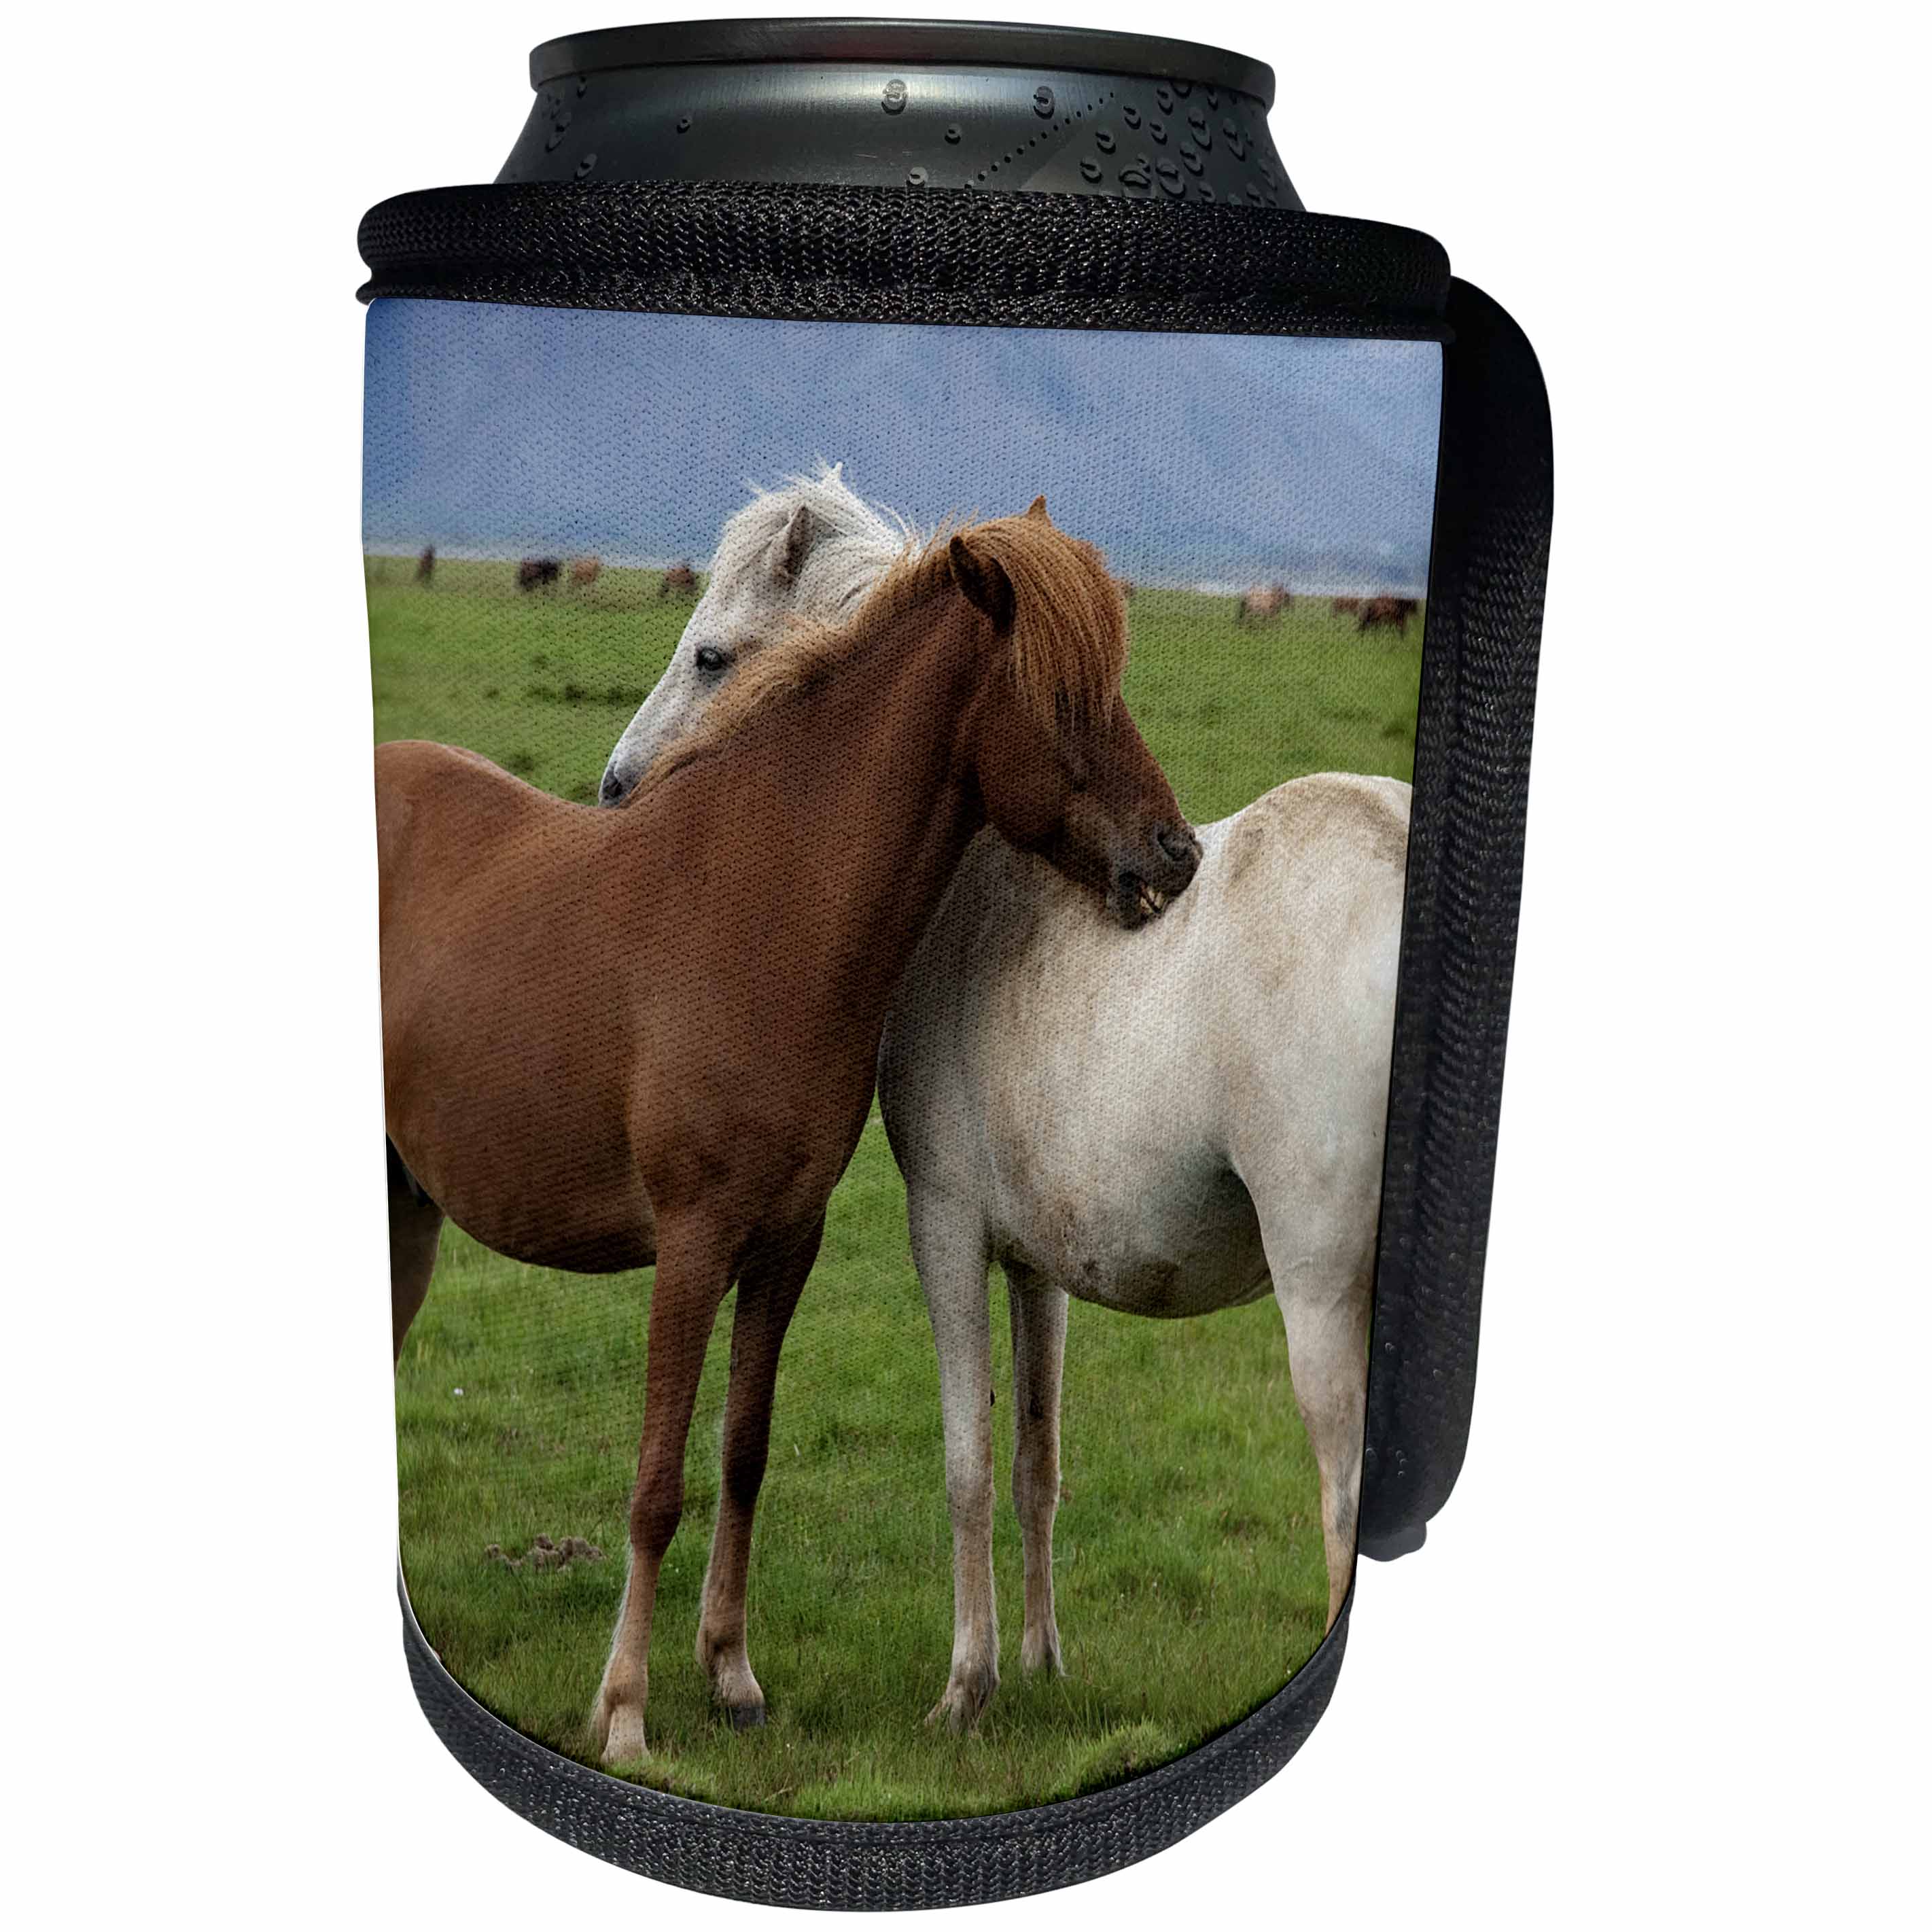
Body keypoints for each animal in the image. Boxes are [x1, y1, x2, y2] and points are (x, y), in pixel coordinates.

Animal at [380, 499, 1201, 1764]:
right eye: (1065, 696)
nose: (1174, 855)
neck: (758, 908)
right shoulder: (691, 1245)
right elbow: (657, 1481)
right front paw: (625, 1708)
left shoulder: (784, 1241)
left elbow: (743, 1450)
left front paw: (728, 1673)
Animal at [603, 466, 1406, 1729]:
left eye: (712, 656)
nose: (617, 790)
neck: (971, 895)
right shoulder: (1039, 1266)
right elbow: (1035, 1463)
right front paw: (1039, 1658)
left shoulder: (943, 1228)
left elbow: (966, 1461)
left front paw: (966, 1682)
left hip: (1322, 1294)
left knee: (1337, 1498)